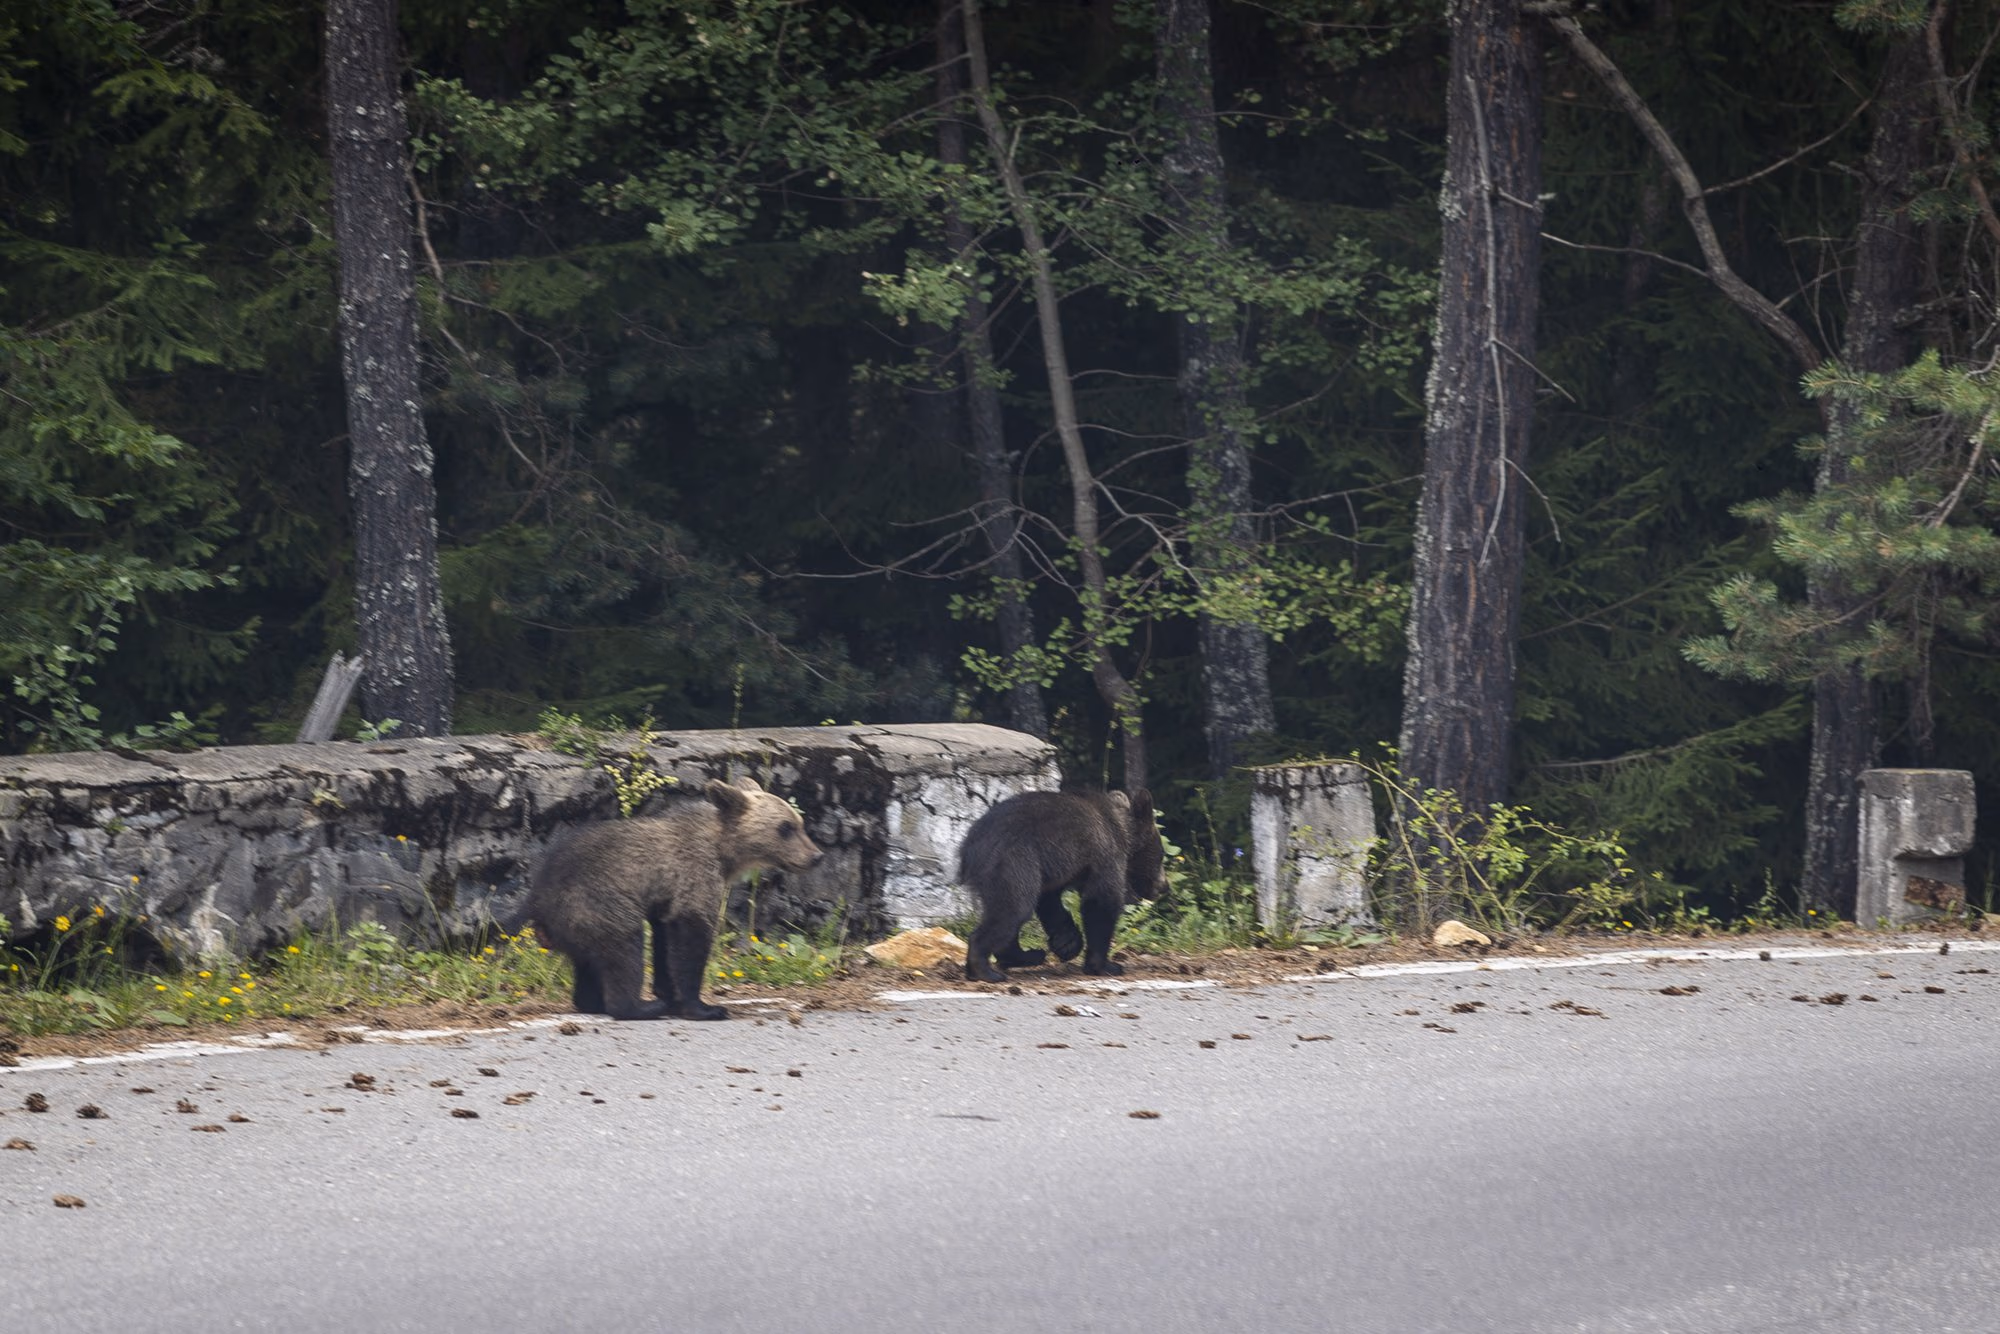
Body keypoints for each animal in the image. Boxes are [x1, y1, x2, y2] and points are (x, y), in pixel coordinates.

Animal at [525, 775, 825, 1020]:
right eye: (785, 827)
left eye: (799, 823)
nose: (816, 856)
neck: (724, 850)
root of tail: (536, 901)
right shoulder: (694, 874)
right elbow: (691, 937)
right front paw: (703, 1007)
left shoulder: (665, 899)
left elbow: (665, 940)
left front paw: (670, 994)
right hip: (597, 903)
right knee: (624, 950)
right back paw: (638, 1006)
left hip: (575, 923)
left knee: (589, 962)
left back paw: (593, 1002)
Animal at [957, 788, 1168, 984]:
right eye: (1161, 855)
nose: (1164, 887)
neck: (1123, 832)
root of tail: (968, 847)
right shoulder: (1106, 856)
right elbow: (1101, 903)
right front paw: (1106, 965)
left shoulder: (1058, 868)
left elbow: (1050, 903)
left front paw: (1067, 944)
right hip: (1011, 862)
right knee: (1013, 910)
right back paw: (985, 971)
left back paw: (1027, 955)